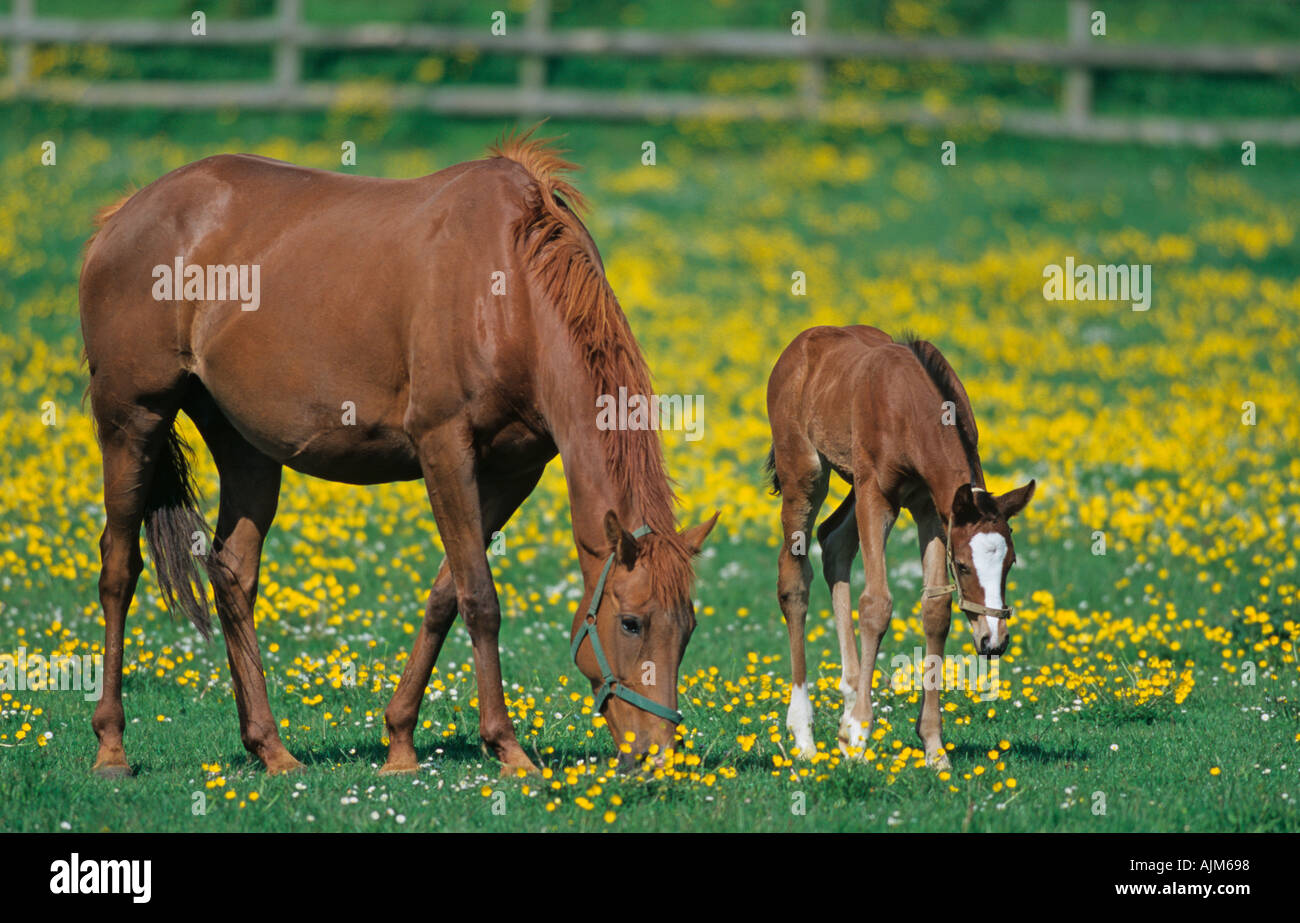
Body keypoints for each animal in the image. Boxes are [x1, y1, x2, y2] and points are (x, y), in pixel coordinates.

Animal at [78, 130, 718, 777]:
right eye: (631, 622)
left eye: (688, 627)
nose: (659, 756)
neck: (509, 289)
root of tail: (121, 218)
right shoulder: (444, 447)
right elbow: (481, 599)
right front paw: (506, 747)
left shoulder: (513, 471)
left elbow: (445, 596)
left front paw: (401, 741)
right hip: (132, 421)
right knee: (119, 570)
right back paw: (110, 747)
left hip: (246, 448)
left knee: (234, 574)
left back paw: (271, 748)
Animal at [764, 325, 1034, 768]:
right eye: (963, 566)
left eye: (1010, 563)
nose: (993, 642)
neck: (910, 406)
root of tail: (798, 345)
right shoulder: (878, 496)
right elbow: (876, 605)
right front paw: (858, 734)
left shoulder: (932, 508)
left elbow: (936, 611)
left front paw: (934, 747)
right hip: (805, 473)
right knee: (794, 578)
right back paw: (803, 734)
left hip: (852, 482)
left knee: (833, 541)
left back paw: (849, 700)